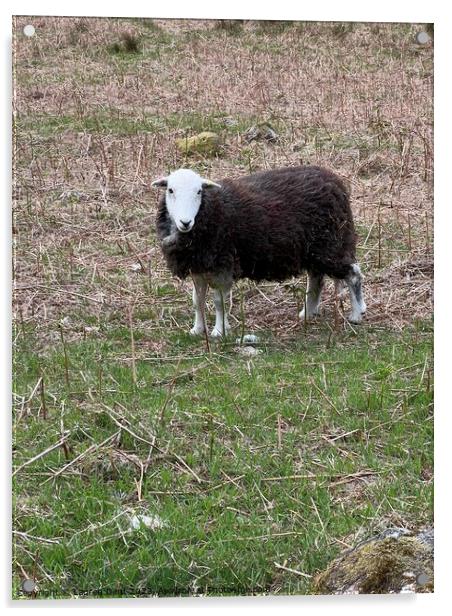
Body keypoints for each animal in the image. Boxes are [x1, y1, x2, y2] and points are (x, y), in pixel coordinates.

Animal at [153, 166, 368, 336]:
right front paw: (197, 330)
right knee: (316, 280)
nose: (185, 222)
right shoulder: (198, 267)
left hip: (332, 245)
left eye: (199, 192)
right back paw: (307, 313)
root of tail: (335, 181)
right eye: (170, 190)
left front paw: (219, 332)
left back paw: (356, 314)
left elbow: (219, 302)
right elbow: (197, 301)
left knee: (353, 274)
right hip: (315, 250)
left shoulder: (223, 266)